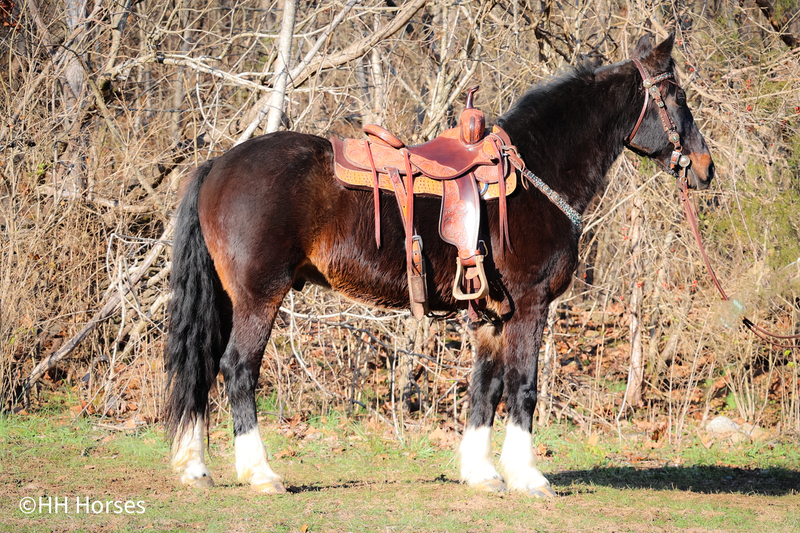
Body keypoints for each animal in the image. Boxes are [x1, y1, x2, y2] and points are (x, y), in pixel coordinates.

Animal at [162, 35, 712, 496]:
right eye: (676, 98)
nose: (705, 167)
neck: (536, 175)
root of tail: (219, 164)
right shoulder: (529, 306)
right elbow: (524, 386)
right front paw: (528, 477)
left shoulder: (494, 315)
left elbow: (485, 387)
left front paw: (482, 473)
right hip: (260, 296)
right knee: (237, 368)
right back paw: (259, 472)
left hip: (230, 299)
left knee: (203, 365)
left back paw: (195, 467)